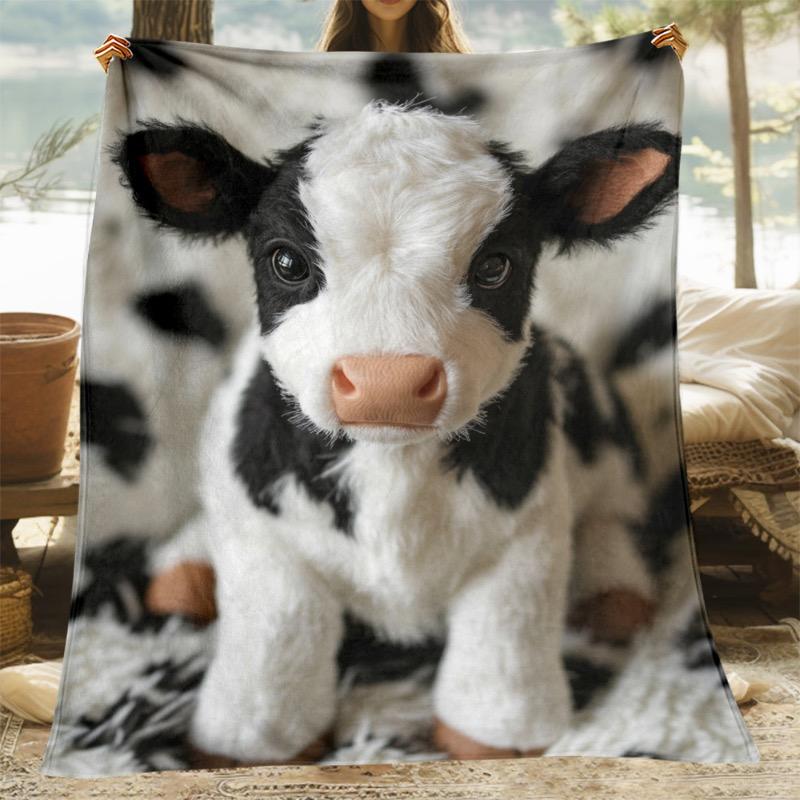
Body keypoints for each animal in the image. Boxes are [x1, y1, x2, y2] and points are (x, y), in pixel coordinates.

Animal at [113, 98, 680, 763]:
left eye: (495, 265)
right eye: (288, 261)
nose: (388, 381)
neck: (392, 468)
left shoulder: (524, 542)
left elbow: (503, 644)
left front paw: (495, 741)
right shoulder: (269, 547)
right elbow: (276, 640)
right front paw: (249, 745)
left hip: (608, 448)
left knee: (611, 513)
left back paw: (614, 596)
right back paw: (182, 575)